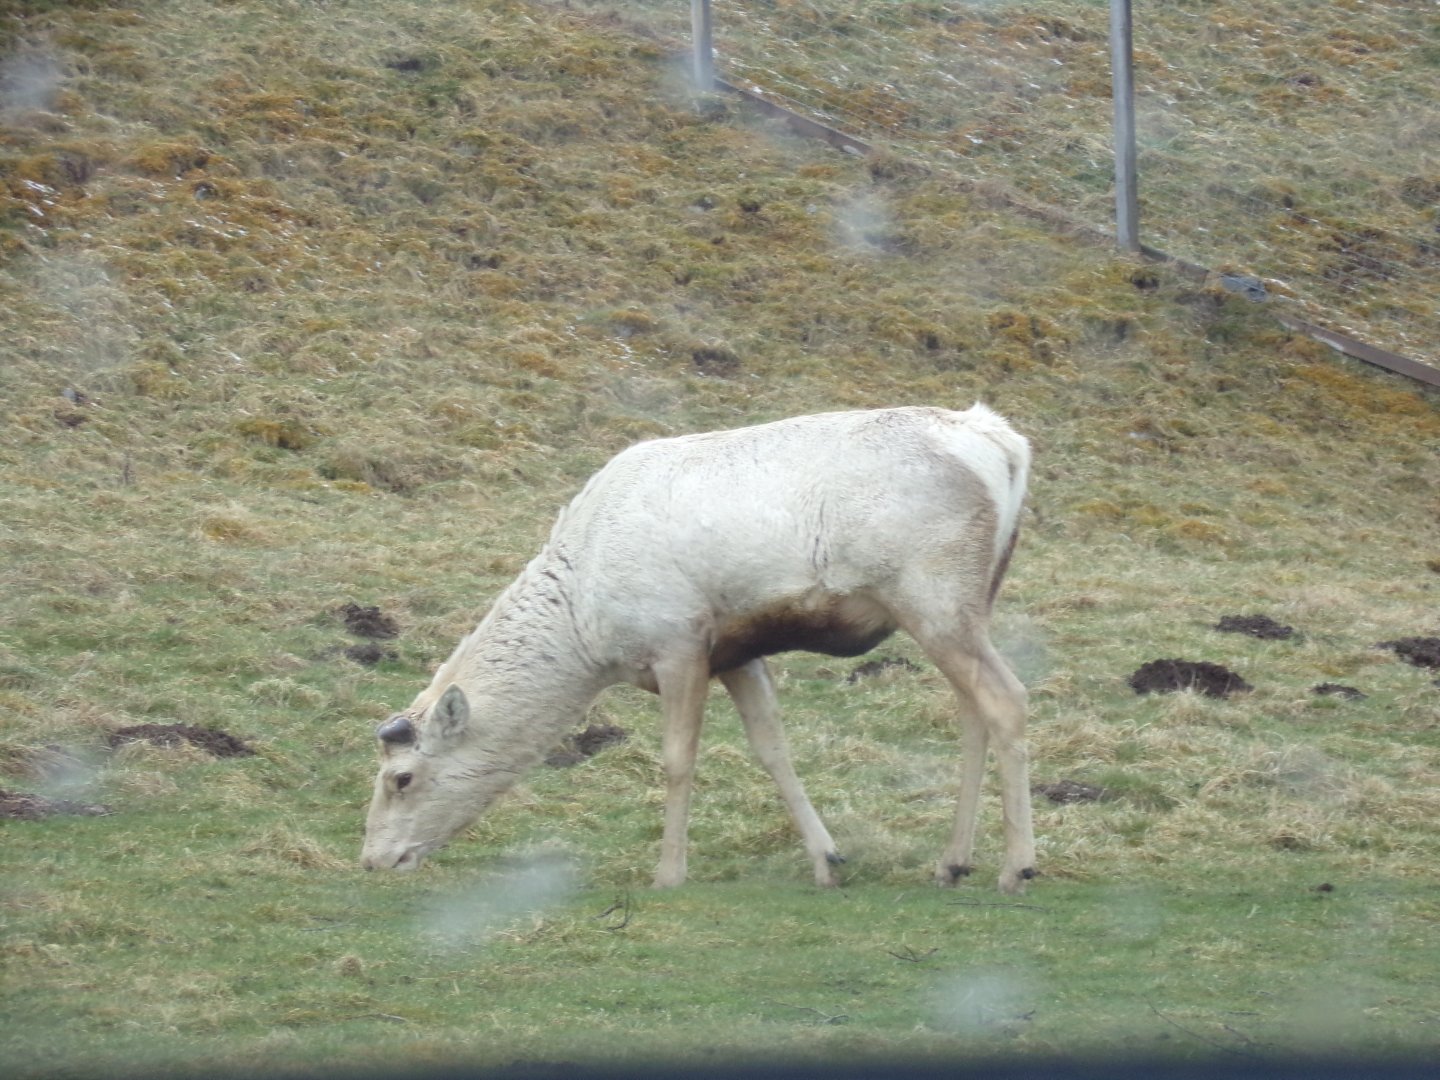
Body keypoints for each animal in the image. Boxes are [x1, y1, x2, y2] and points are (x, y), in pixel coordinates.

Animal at [360, 404, 1036, 893]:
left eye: (400, 778)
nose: (373, 860)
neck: (585, 626)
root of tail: (1005, 445)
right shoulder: (736, 651)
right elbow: (772, 748)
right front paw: (828, 860)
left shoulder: (678, 642)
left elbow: (678, 760)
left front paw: (668, 873)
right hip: (970, 600)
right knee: (973, 710)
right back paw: (952, 861)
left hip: (931, 592)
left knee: (1008, 699)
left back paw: (1017, 867)